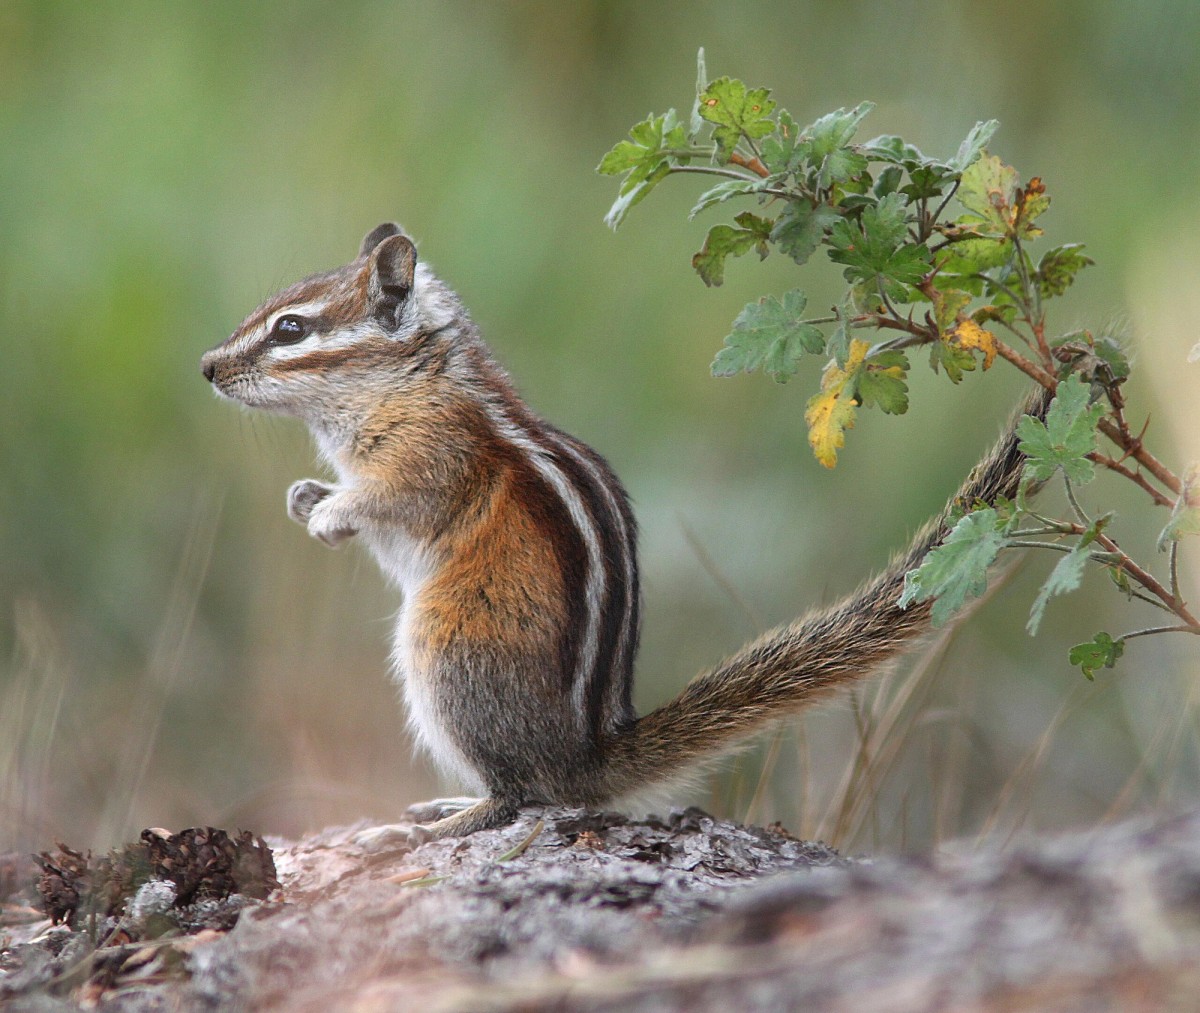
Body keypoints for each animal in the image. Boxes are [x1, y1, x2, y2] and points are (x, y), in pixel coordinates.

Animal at [201, 223, 1050, 849]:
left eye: (291, 329)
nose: (207, 366)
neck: (412, 378)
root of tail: (587, 758)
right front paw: (305, 497)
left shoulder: (431, 454)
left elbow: (394, 498)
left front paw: (327, 512)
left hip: (445, 652)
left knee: (519, 795)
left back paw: (443, 822)